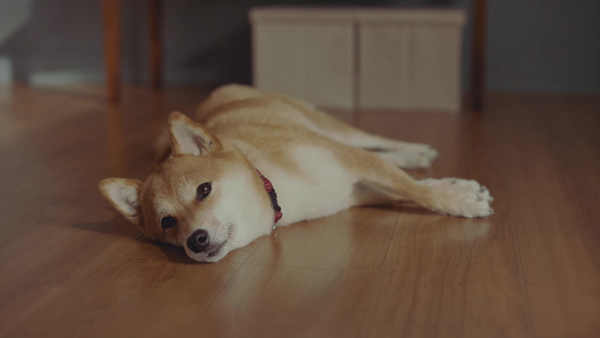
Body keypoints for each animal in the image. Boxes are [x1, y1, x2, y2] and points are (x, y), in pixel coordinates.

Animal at [98, 85, 492, 264]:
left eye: (204, 190)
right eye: (167, 223)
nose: (195, 240)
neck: (278, 187)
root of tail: (219, 94)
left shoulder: (351, 160)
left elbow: (418, 191)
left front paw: (460, 201)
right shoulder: (356, 190)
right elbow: (409, 187)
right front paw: (460, 189)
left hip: (334, 130)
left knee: (375, 139)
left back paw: (416, 150)